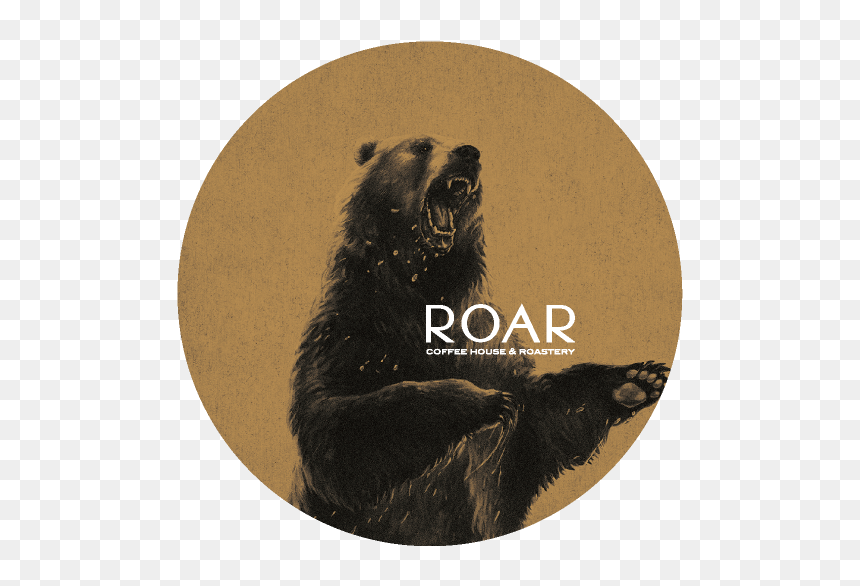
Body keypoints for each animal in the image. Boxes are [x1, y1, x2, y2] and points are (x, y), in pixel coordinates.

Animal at [289, 134, 669, 545]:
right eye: (421, 146)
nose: (469, 153)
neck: (425, 285)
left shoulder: (482, 337)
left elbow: (540, 420)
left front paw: (639, 379)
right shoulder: (353, 329)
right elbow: (335, 428)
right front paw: (481, 401)